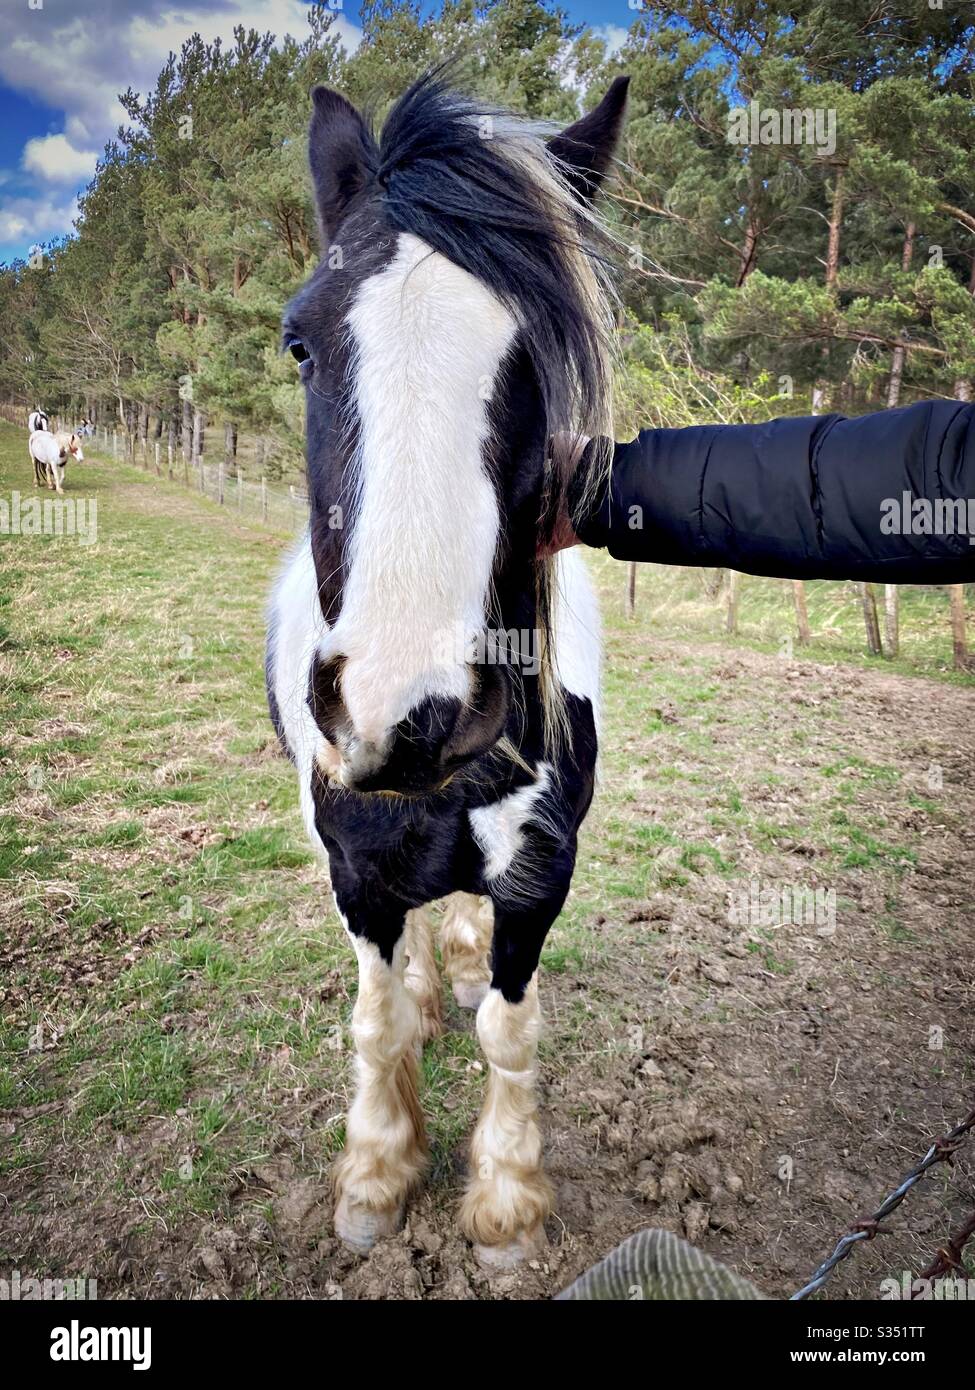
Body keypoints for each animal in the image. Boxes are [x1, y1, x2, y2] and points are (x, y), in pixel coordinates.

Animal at [266, 72, 628, 1267]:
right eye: (298, 343)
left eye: (540, 356)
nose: (405, 711)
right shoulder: (354, 867)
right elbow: (376, 1022)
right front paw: (377, 1176)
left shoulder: (539, 871)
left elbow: (510, 1029)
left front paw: (507, 1199)